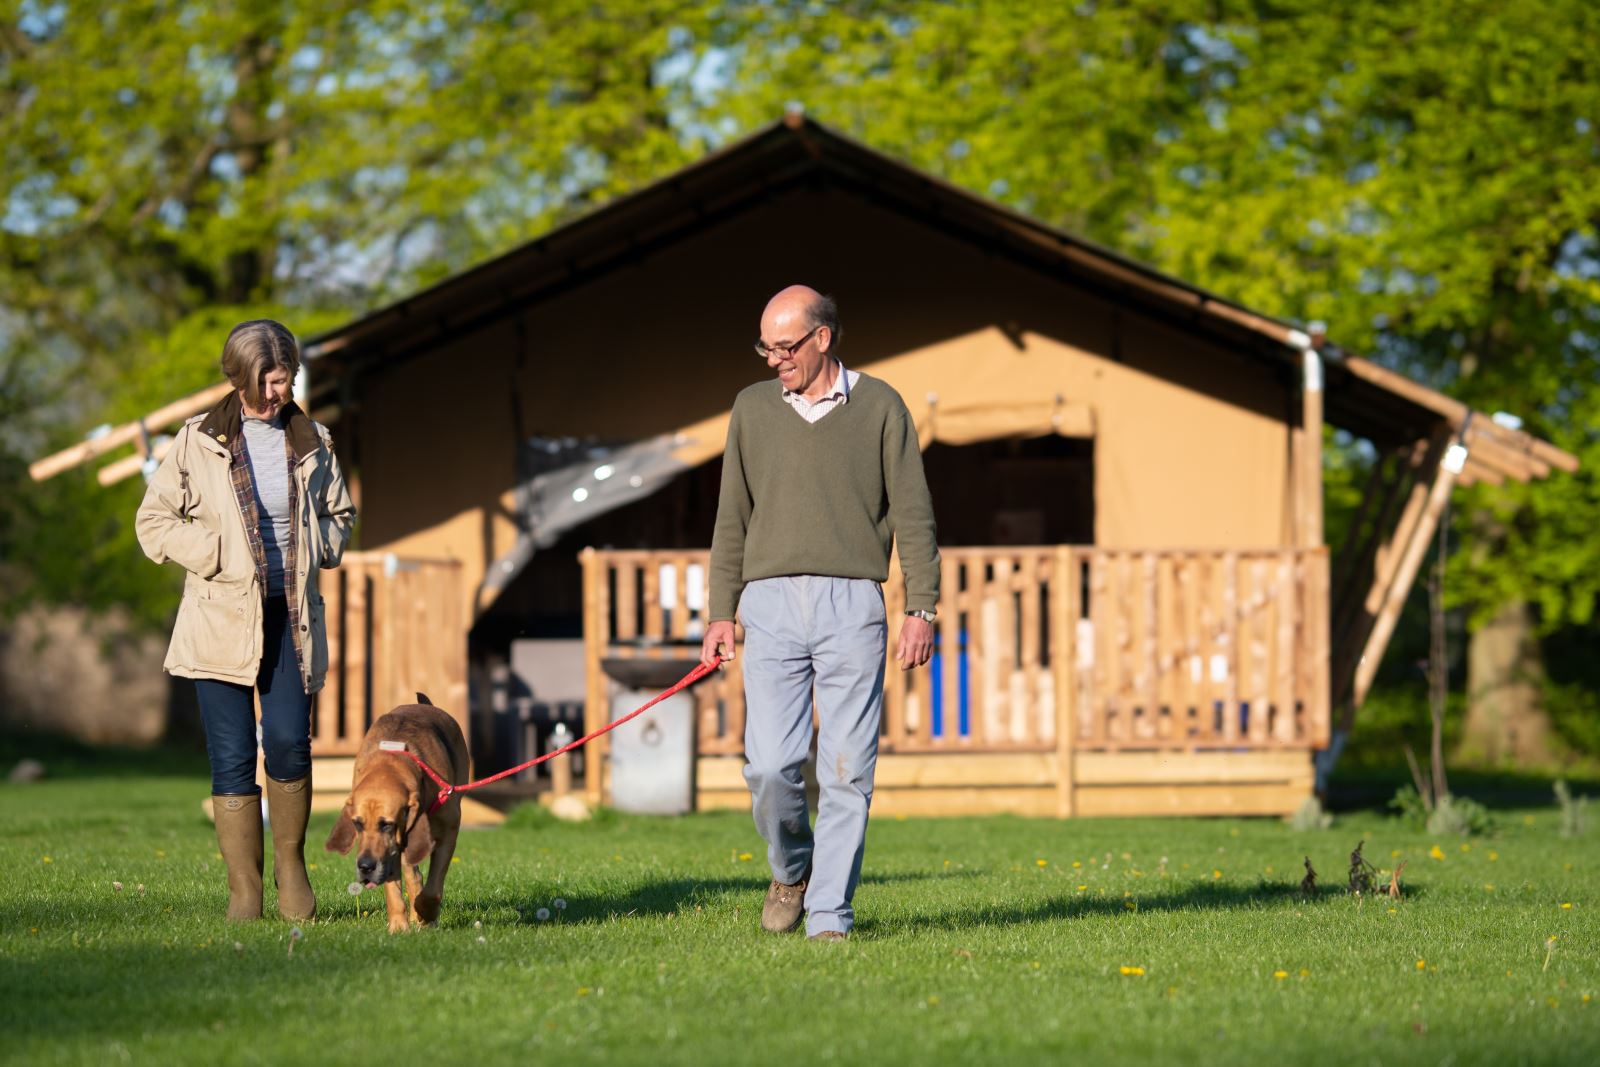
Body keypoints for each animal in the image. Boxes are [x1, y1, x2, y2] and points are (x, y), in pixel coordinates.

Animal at [324, 700, 467, 934]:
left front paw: (425, 914)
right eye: (357, 824)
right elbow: (394, 889)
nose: (365, 867)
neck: (391, 762)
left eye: (386, 825)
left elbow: (432, 891)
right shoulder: (389, 851)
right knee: (413, 874)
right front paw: (399, 926)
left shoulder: (447, 834)